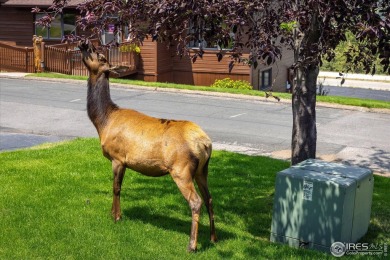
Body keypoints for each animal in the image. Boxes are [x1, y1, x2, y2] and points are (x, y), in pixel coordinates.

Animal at [77, 40, 215, 252]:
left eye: (100, 56)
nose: (84, 43)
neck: (103, 121)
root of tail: (205, 143)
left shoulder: (117, 157)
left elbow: (116, 187)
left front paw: (116, 217)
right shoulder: (125, 161)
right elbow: (117, 187)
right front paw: (112, 213)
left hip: (181, 169)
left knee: (196, 201)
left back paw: (192, 245)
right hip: (202, 170)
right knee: (209, 198)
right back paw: (213, 238)